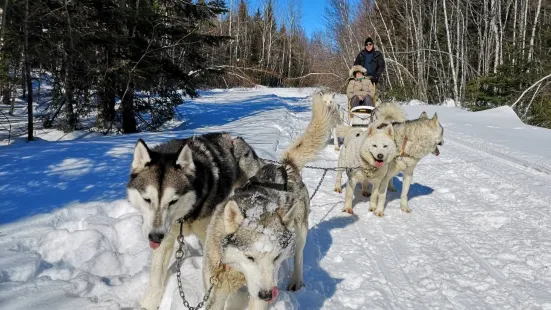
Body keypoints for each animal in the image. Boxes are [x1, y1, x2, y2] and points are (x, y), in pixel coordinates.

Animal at [126, 133, 264, 310]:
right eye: (147, 199)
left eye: (173, 201)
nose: (155, 237)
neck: (184, 216)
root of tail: (235, 138)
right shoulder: (166, 237)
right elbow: (156, 278)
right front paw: (148, 304)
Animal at [203, 93, 332, 308]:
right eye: (250, 257)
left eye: (276, 257)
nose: (267, 294)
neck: (236, 271)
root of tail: (286, 167)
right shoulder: (216, 288)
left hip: (300, 232)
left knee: (298, 256)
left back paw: (296, 280)